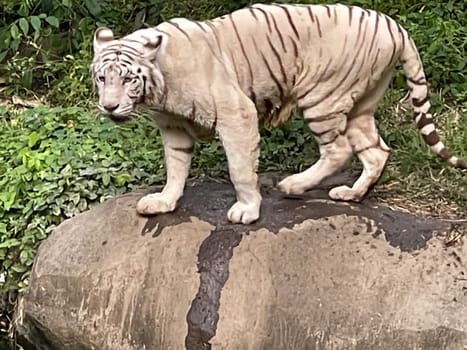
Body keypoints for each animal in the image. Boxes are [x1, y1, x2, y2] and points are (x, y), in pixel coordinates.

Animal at [91, 2, 467, 224]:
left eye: (128, 79)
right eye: (101, 78)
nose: (109, 106)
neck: (160, 87)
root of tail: (394, 26)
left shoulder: (236, 113)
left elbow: (240, 169)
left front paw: (246, 210)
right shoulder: (173, 128)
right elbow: (176, 167)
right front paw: (164, 201)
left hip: (322, 96)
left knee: (339, 149)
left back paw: (293, 184)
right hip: (360, 103)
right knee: (376, 150)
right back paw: (351, 194)